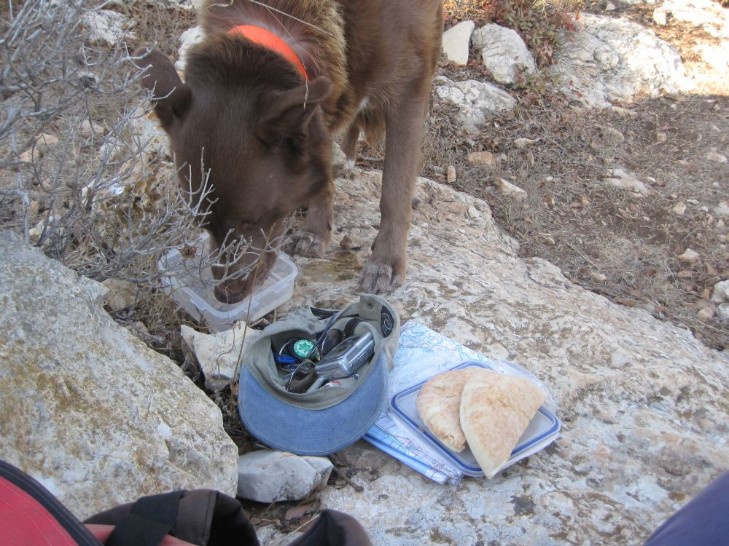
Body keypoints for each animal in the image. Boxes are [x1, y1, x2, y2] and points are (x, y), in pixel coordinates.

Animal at [136, 0, 444, 302]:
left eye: (252, 221)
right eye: (202, 223)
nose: (225, 296)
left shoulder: (409, 88)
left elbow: (394, 191)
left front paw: (386, 261)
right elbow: (321, 161)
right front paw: (316, 230)